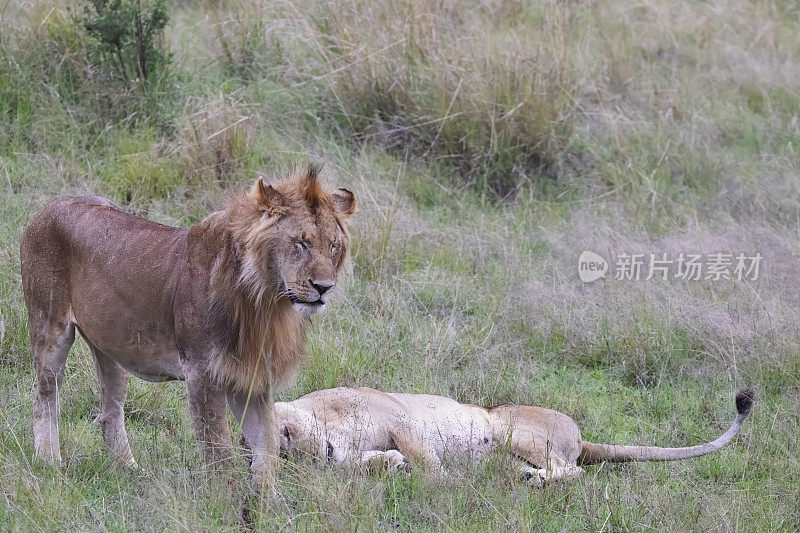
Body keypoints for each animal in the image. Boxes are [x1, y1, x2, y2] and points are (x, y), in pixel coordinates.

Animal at [18, 167, 354, 486]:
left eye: (333, 246)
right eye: (301, 243)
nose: (324, 287)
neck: (265, 301)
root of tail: (48, 207)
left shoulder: (251, 377)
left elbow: (266, 451)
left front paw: (263, 502)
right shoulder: (202, 372)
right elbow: (219, 451)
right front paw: (224, 502)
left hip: (110, 345)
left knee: (110, 411)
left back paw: (128, 469)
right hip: (49, 327)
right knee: (44, 398)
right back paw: (49, 463)